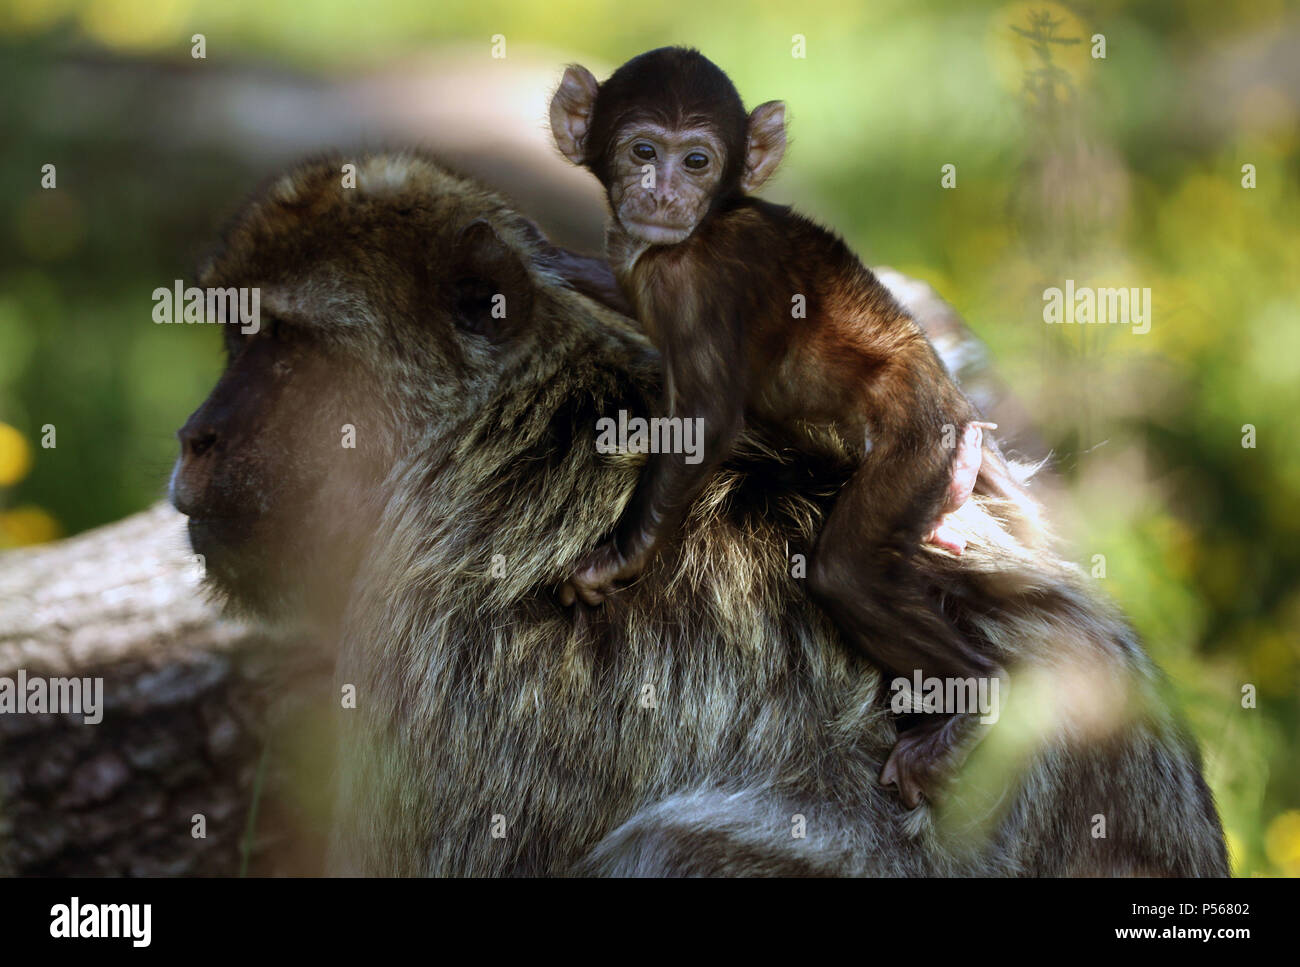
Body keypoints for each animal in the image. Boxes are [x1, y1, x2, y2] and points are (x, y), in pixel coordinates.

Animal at [550, 48, 1005, 807]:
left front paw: (618, 557)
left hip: (919, 442)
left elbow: (706, 420)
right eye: (642, 151)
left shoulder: (706, 281)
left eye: (696, 160)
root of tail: (964, 425)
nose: (664, 192)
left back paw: (971, 707)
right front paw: (548, 252)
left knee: (848, 572)